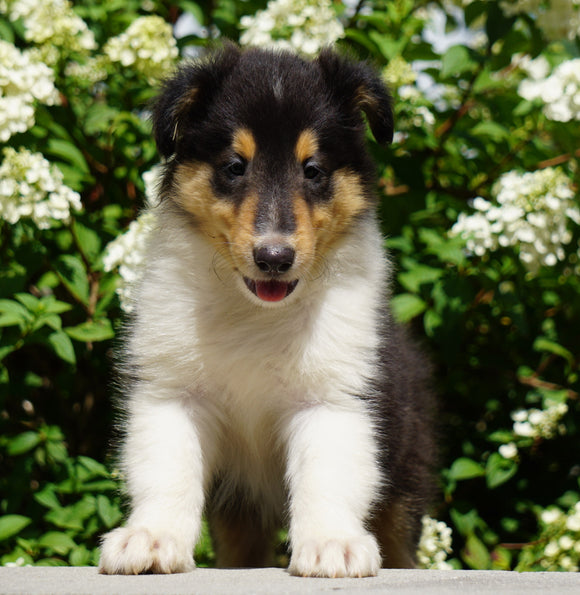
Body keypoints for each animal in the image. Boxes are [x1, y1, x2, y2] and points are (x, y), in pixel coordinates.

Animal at [99, 45, 436, 576]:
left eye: (313, 170)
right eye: (235, 166)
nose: (274, 258)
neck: (256, 312)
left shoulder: (331, 395)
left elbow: (326, 473)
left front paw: (331, 544)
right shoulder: (174, 390)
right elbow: (168, 467)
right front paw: (150, 538)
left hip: (404, 475)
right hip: (239, 517)